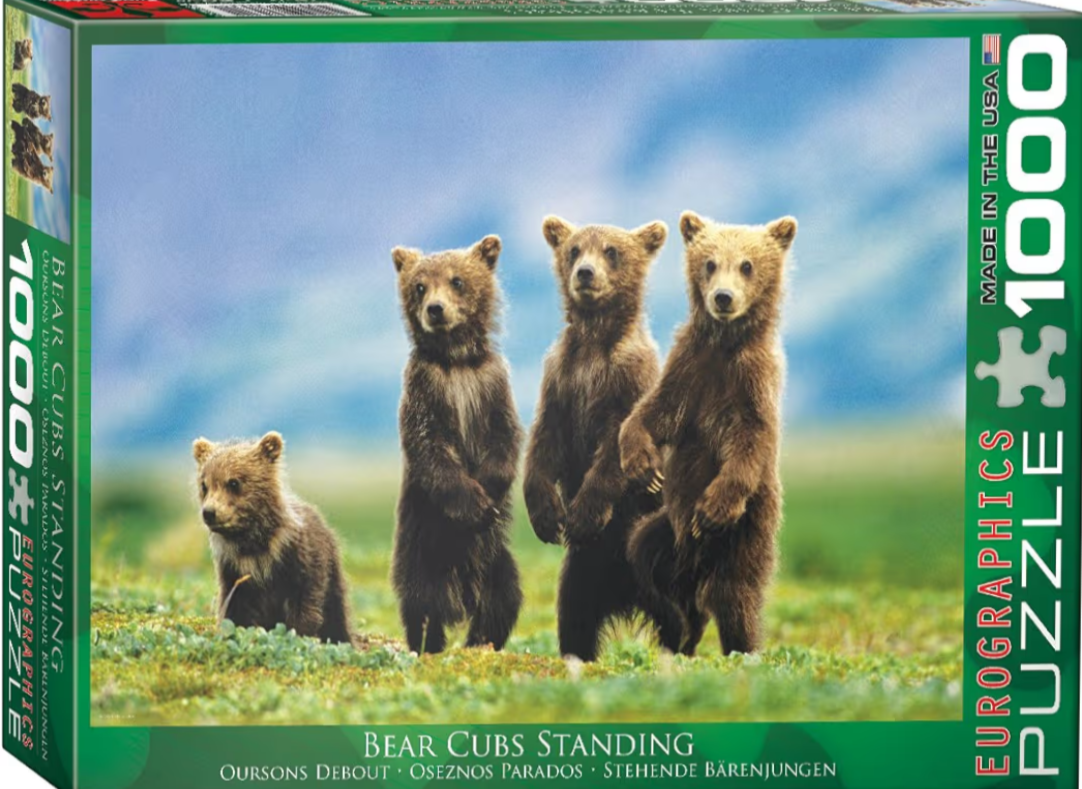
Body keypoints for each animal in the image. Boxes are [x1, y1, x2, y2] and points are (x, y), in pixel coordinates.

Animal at [192, 431, 353, 645]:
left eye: (233, 482)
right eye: (204, 485)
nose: (209, 512)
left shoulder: (298, 560)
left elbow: (304, 605)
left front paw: (299, 635)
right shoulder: (234, 568)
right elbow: (234, 608)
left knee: (336, 611)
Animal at [391, 234, 524, 655]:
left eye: (457, 280)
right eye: (419, 286)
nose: (435, 309)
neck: (457, 361)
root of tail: (462, 597)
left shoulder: (491, 385)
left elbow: (506, 438)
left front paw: (491, 489)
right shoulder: (426, 389)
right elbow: (430, 449)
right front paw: (475, 503)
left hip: (496, 560)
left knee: (503, 599)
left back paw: (481, 641)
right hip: (422, 550)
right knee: (421, 604)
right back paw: (428, 643)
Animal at [524, 216, 685, 661]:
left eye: (612, 251)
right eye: (575, 249)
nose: (585, 273)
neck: (595, 342)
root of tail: (626, 596)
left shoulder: (627, 383)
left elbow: (615, 448)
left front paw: (582, 514)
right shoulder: (561, 379)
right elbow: (544, 441)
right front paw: (546, 515)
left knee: (678, 618)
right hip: (582, 573)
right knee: (574, 617)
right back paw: (576, 654)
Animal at [620, 211, 797, 657]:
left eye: (747, 265)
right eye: (710, 263)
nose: (723, 298)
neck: (724, 348)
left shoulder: (752, 385)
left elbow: (749, 443)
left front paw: (712, 508)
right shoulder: (689, 369)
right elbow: (652, 412)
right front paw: (644, 467)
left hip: (747, 535)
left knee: (734, 597)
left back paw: (739, 646)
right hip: (665, 532)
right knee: (646, 562)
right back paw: (679, 633)